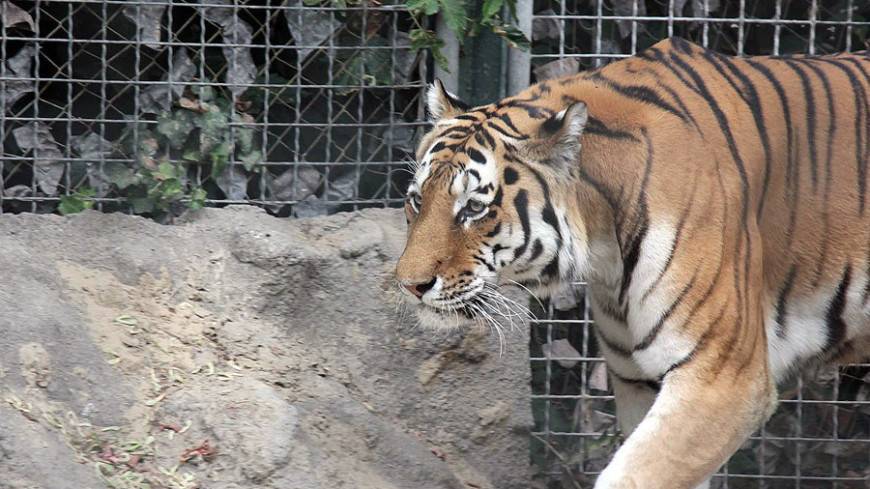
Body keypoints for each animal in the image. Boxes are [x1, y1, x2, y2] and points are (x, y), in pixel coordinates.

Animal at [394, 37, 869, 489]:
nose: (410, 284)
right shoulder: (638, 379)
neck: (606, 253)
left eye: (474, 209)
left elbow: (632, 474)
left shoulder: (723, 375)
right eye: (417, 199)